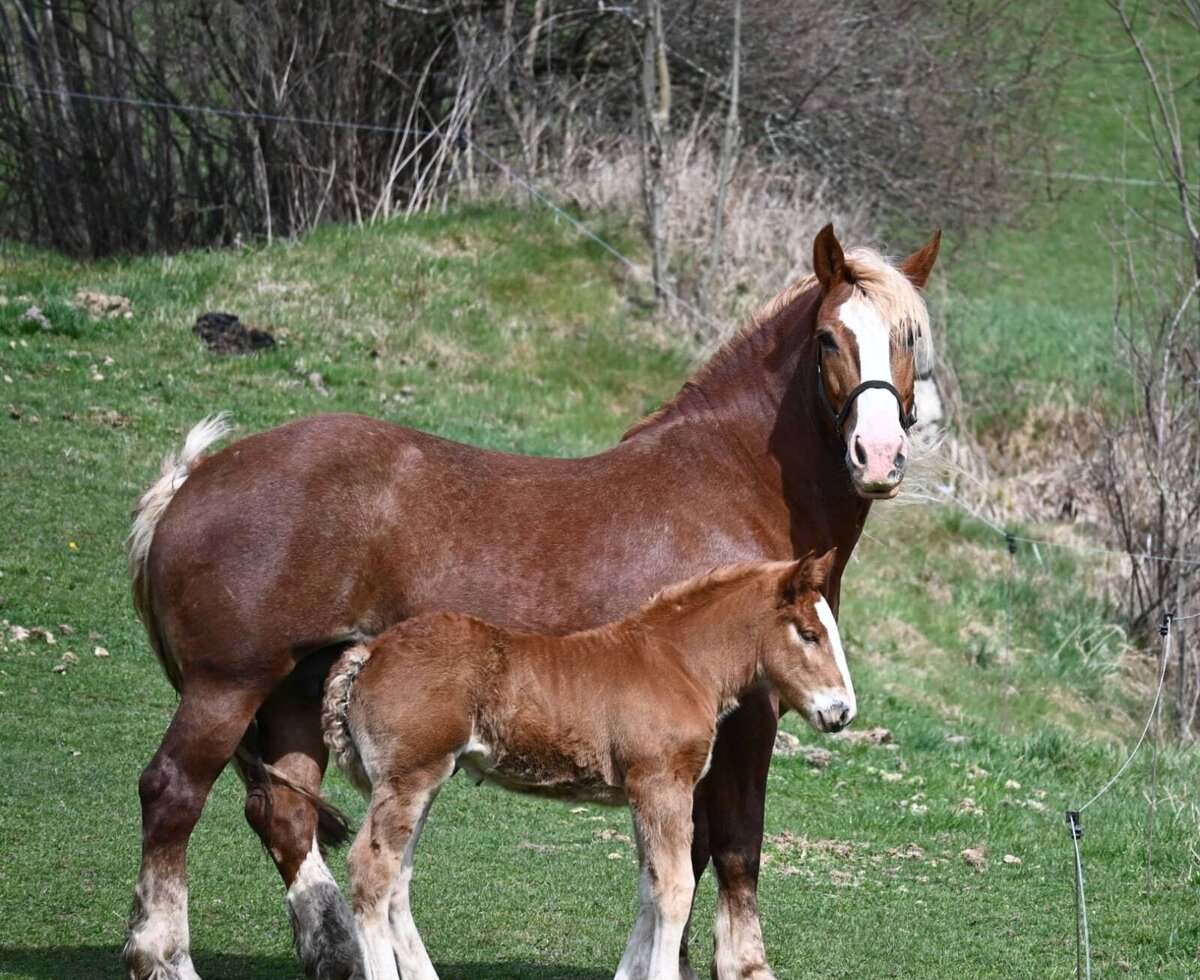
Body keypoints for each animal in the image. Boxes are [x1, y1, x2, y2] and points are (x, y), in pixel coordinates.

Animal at [322, 552, 853, 980]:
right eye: (809, 635)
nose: (843, 712)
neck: (679, 664)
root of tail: (369, 653)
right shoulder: (663, 784)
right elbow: (675, 888)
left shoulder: (644, 791)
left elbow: (649, 887)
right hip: (408, 778)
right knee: (371, 871)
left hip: (420, 781)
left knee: (397, 880)